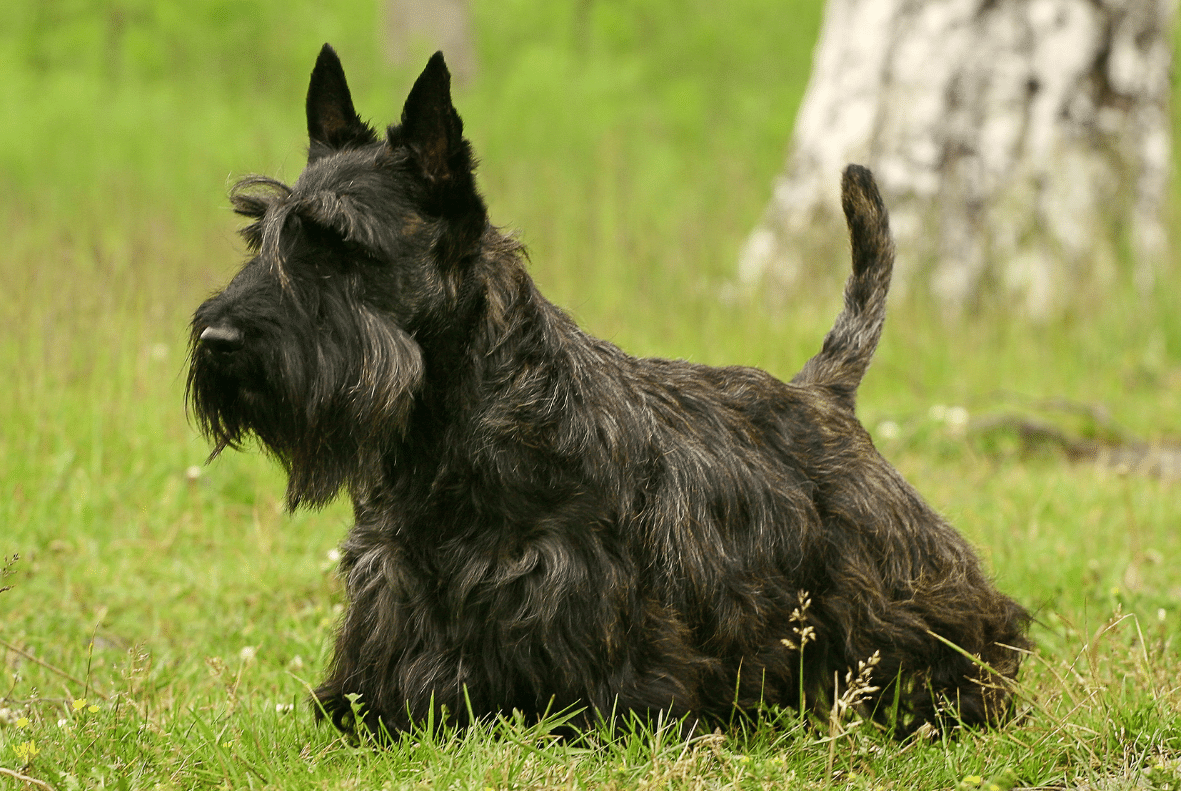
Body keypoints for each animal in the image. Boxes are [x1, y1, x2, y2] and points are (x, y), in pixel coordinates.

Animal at [188, 46, 1029, 741]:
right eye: (258, 238)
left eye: (341, 245)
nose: (219, 340)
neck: (449, 417)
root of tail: (821, 393)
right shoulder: (392, 578)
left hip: (894, 584)